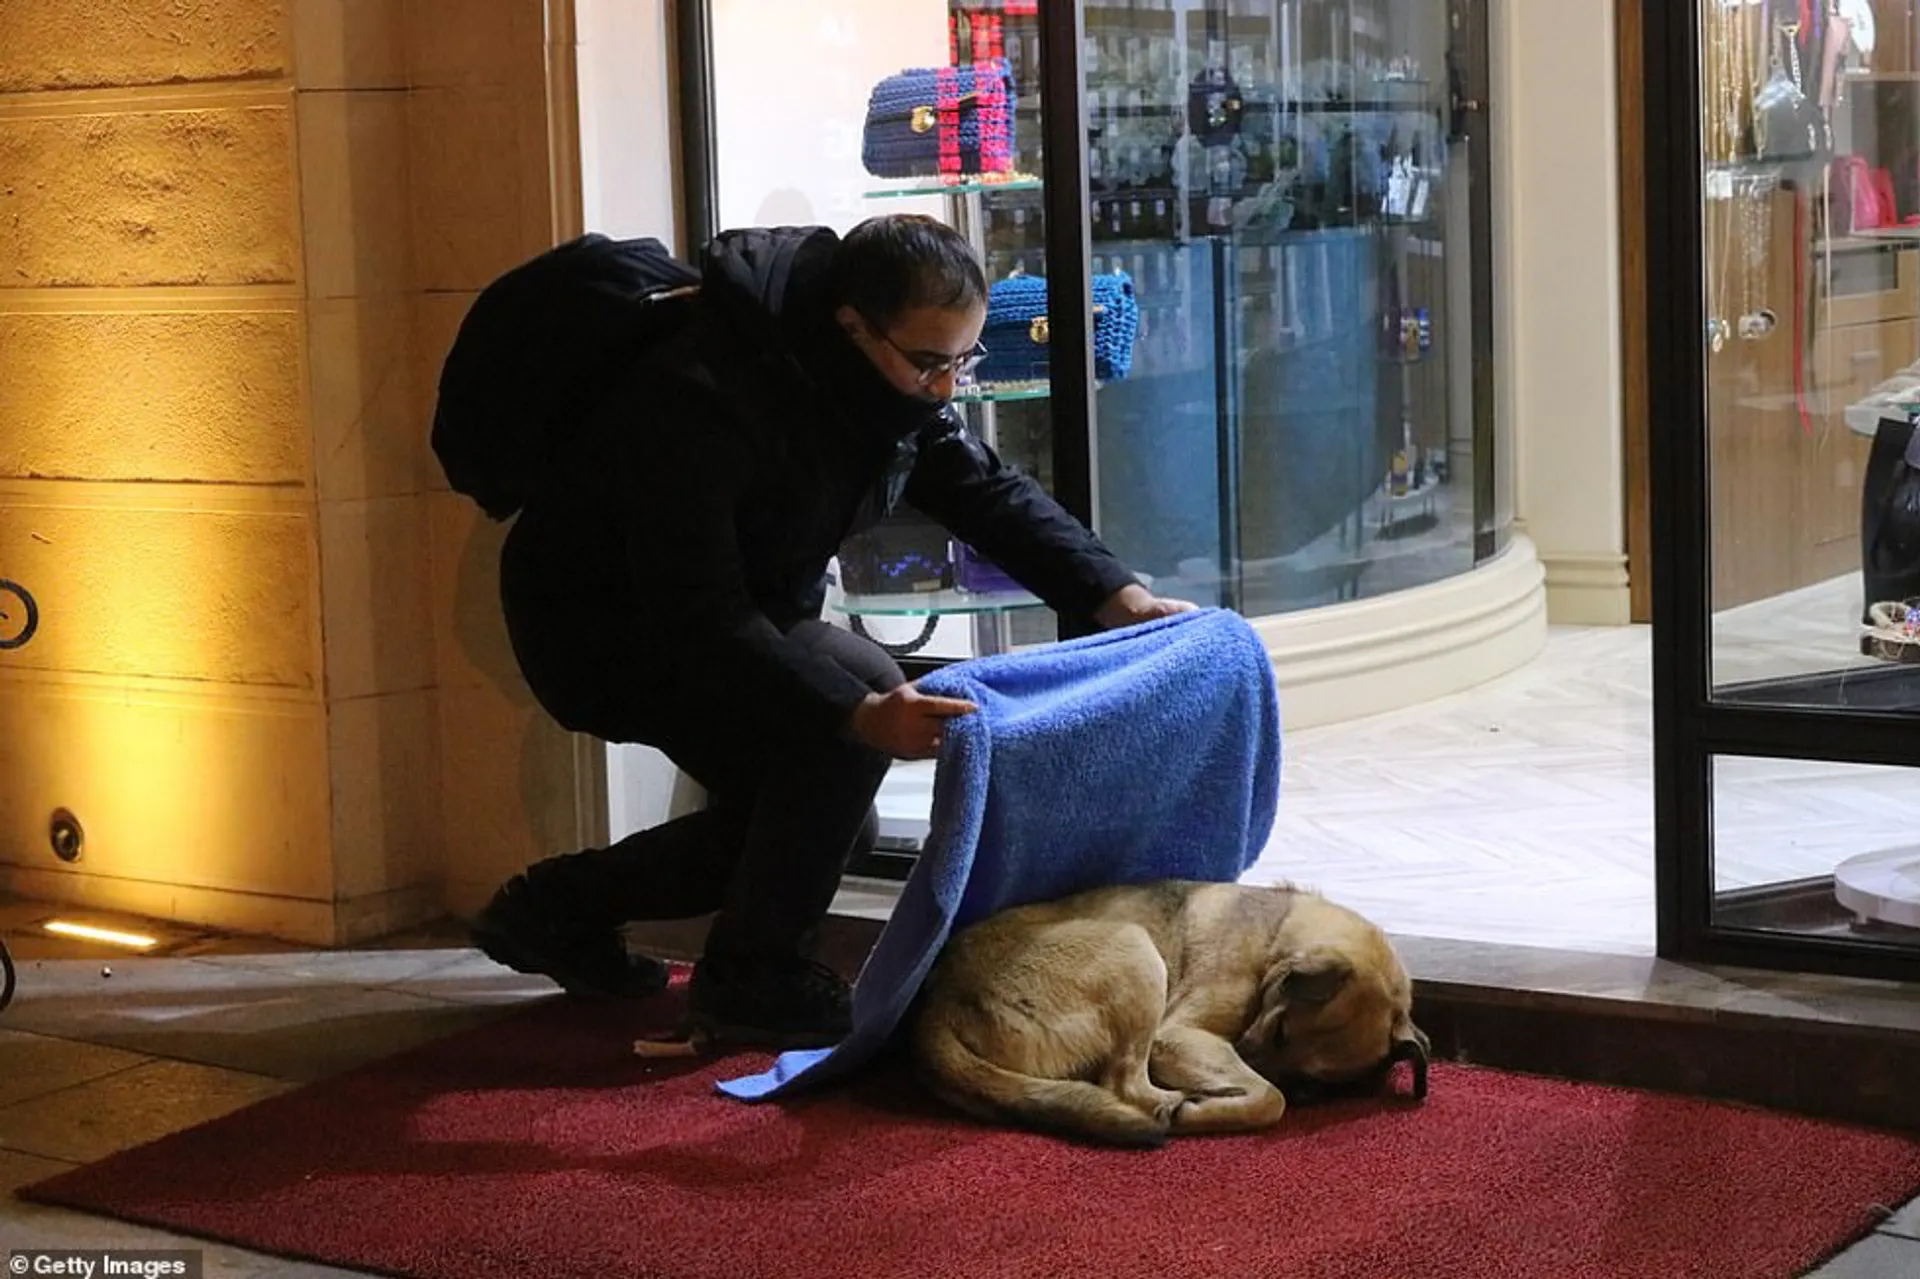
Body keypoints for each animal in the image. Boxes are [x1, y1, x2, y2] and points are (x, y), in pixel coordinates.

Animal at [910, 875, 1428, 1144]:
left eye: (1312, 1086)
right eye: (1280, 1030)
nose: (1244, 1055)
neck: (1276, 939)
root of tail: (939, 1004)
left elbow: (1272, 1093)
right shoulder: (1178, 1036)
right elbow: (1269, 1098)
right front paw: (1212, 1106)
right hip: (1136, 954)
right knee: (1125, 1084)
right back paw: (1176, 1108)